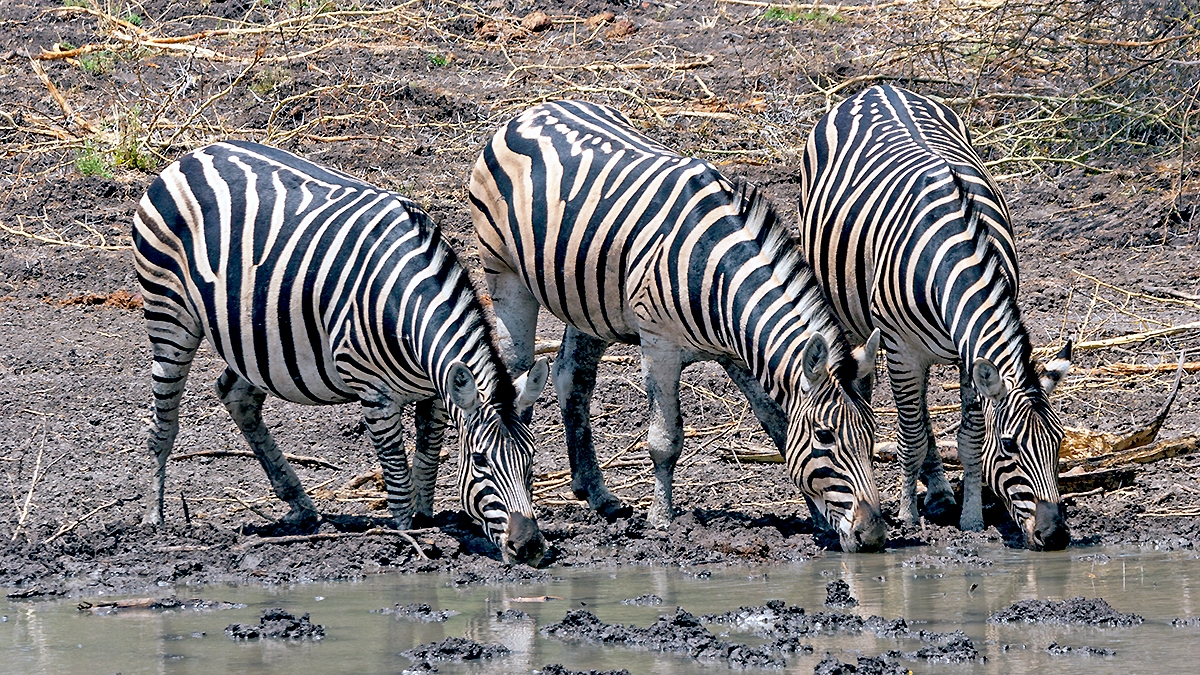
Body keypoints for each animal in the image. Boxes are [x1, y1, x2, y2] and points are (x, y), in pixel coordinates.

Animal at [133, 140, 550, 565]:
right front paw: (411, 537)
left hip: (253, 340)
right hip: (169, 314)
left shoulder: (436, 391)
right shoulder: (375, 393)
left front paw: (426, 518)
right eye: (481, 461)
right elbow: (397, 470)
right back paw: (154, 516)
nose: (529, 546)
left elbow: (428, 456)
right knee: (163, 422)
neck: (406, 305)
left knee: (237, 395)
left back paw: (300, 503)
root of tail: (197, 153)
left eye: (532, 459)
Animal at [469, 100, 886, 553]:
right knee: (518, 368)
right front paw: (661, 520)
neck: (718, 271)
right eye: (826, 437)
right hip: (505, 274)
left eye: (872, 434)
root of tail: (537, 108)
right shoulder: (659, 346)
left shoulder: (737, 352)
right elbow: (665, 441)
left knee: (571, 377)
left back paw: (597, 493)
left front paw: (818, 521)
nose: (872, 536)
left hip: (588, 298)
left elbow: (778, 425)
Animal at [798, 84, 1073, 550]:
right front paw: (908, 515)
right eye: (1010, 447)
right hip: (855, 318)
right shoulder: (901, 348)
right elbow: (909, 436)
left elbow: (968, 437)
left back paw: (941, 493)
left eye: (1059, 441)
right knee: (877, 394)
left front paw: (972, 517)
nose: (1054, 535)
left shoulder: (969, 355)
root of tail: (878, 87)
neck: (950, 254)